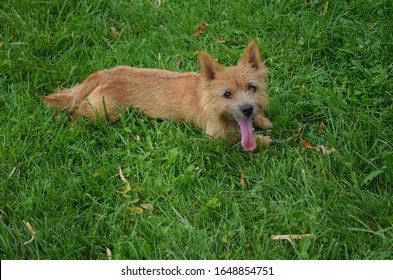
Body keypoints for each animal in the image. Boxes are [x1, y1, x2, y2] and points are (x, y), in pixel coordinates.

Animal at [41, 40, 272, 151]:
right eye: (226, 94)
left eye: (252, 88)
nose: (247, 109)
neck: (206, 96)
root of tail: (107, 73)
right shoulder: (214, 136)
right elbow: (234, 138)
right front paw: (263, 141)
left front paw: (262, 121)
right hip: (104, 112)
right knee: (78, 109)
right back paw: (71, 126)